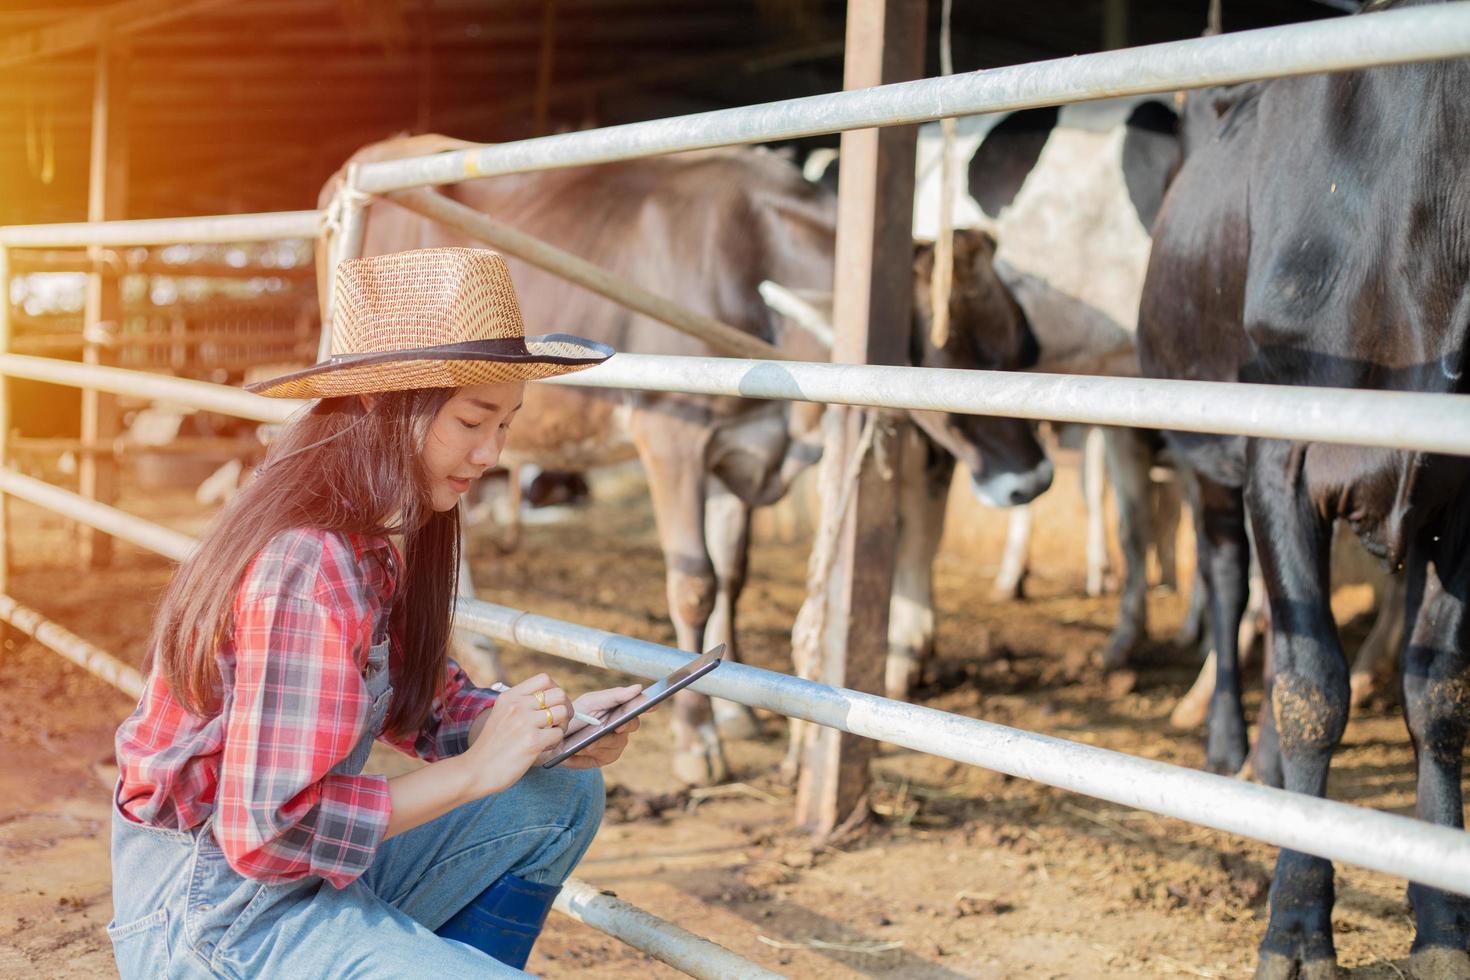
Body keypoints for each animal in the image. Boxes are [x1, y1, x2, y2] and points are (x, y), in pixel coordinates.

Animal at [324, 138, 1058, 787]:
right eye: (942, 351)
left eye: (1022, 343)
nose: (1034, 479)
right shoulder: (671, 437)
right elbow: (693, 582)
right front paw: (698, 741)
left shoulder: (741, 449)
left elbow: (731, 574)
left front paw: (735, 710)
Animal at [1134, 3, 1470, 975]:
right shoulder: (1279, 456)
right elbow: (1312, 684)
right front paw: (1294, 925)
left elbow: (1438, 692)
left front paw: (1442, 921)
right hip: (1209, 461)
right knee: (1226, 580)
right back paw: (1229, 747)